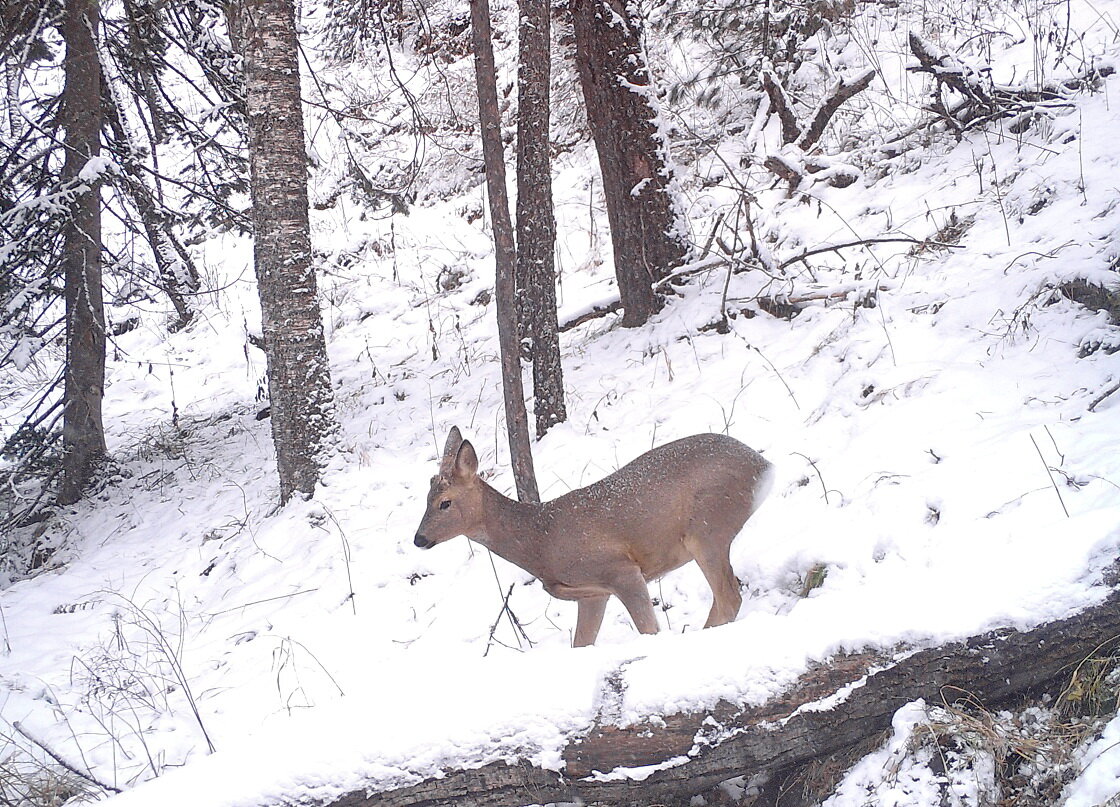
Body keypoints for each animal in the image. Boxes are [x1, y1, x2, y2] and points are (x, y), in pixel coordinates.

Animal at [416, 427, 775, 649]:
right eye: (426, 497)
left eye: (444, 502)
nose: (419, 539)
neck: (541, 543)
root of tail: (764, 465)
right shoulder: (593, 594)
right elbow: (581, 643)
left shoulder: (620, 570)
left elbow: (649, 629)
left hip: (707, 526)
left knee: (729, 597)